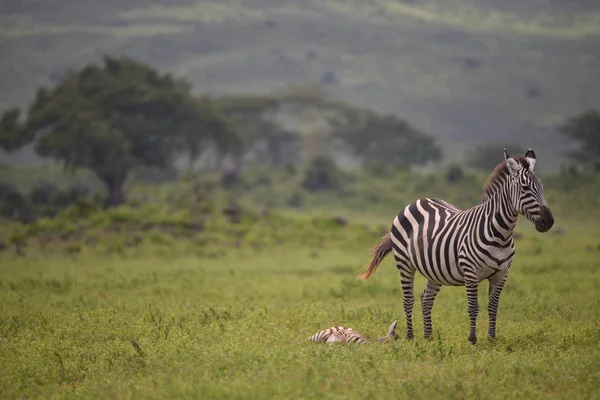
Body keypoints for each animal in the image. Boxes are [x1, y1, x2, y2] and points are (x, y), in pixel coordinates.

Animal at [358, 148, 556, 346]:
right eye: (525, 188)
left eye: (542, 187)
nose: (549, 222)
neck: (501, 235)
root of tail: (417, 201)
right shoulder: (471, 271)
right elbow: (473, 306)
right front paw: (473, 339)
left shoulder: (502, 274)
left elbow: (493, 307)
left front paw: (492, 339)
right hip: (404, 262)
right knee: (408, 299)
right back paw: (410, 336)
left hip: (434, 269)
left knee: (426, 299)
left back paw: (429, 336)